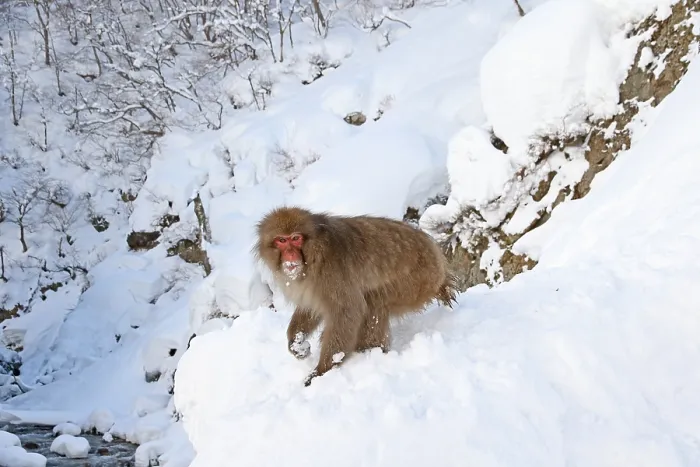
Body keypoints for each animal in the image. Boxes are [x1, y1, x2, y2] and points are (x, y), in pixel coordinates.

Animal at [254, 206, 458, 386]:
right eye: (281, 240)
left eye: (296, 238)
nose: (290, 253)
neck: (313, 256)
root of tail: (438, 257)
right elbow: (311, 307)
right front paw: (296, 343)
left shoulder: (331, 273)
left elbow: (347, 311)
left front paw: (322, 371)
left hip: (417, 281)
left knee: (373, 302)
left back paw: (368, 353)